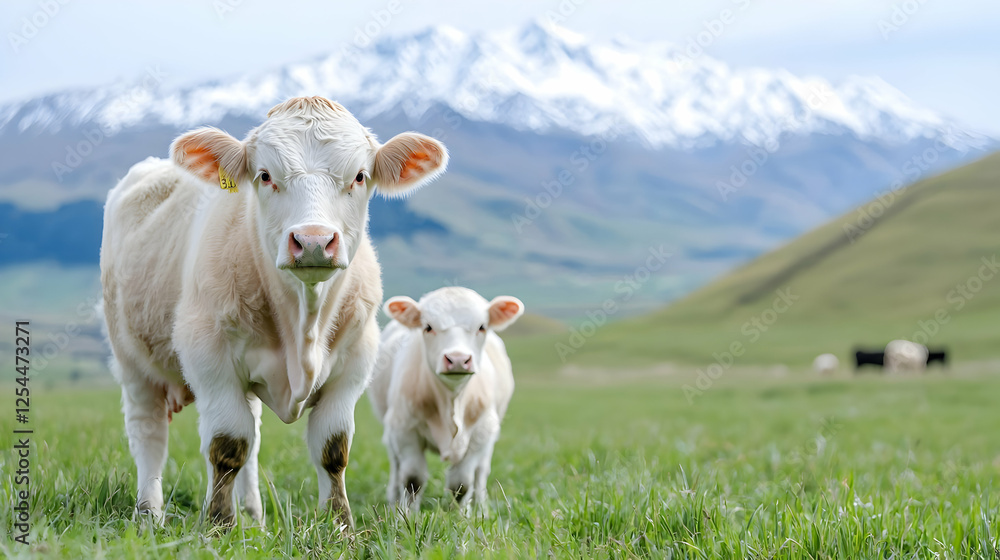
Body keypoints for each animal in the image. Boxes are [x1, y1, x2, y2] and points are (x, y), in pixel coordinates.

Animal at [100, 96, 448, 529]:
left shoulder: (355, 363)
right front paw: (219, 525)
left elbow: (332, 449)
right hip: (132, 361)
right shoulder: (209, 357)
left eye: (360, 176)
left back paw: (253, 514)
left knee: (252, 436)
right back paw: (149, 513)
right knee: (148, 435)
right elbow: (228, 444)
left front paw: (341, 526)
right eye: (264, 175)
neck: (303, 323)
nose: (313, 241)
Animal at [367, 287, 523, 515]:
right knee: (396, 465)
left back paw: (482, 508)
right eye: (428, 327)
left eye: (482, 327)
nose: (458, 359)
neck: (451, 400)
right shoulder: (404, 429)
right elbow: (412, 480)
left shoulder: (481, 433)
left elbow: (462, 483)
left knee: (481, 472)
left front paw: (462, 516)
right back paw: (393, 500)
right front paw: (407, 516)